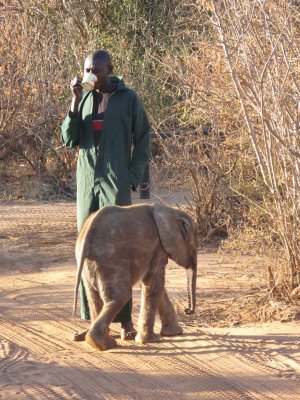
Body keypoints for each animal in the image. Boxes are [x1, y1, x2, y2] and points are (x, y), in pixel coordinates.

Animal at [73, 203, 198, 350]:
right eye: (194, 246)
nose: (187, 310)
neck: (171, 212)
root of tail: (86, 239)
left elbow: (154, 284)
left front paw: (174, 333)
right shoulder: (157, 246)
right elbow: (154, 284)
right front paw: (150, 340)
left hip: (91, 263)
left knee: (93, 296)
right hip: (111, 260)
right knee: (121, 296)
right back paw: (103, 343)